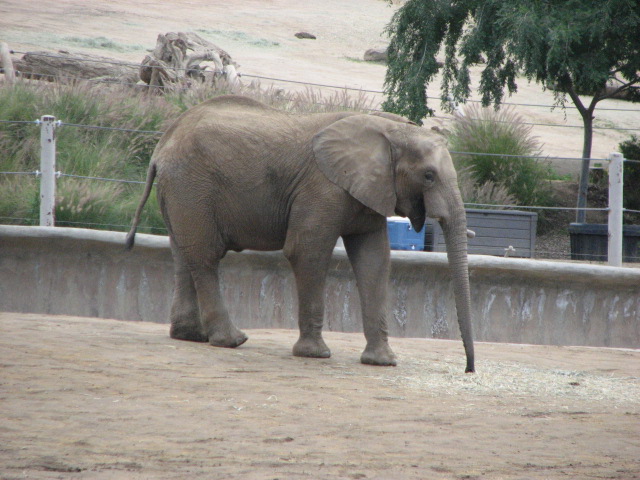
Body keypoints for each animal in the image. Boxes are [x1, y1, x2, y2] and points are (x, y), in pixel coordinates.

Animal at [126, 95, 474, 373]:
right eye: (428, 176)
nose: (469, 369)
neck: (390, 129)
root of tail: (161, 145)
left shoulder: (371, 192)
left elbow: (374, 260)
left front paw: (383, 362)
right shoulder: (322, 187)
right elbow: (308, 252)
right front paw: (315, 355)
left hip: (180, 191)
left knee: (182, 253)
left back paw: (191, 336)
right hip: (192, 187)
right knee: (205, 257)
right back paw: (231, 340)